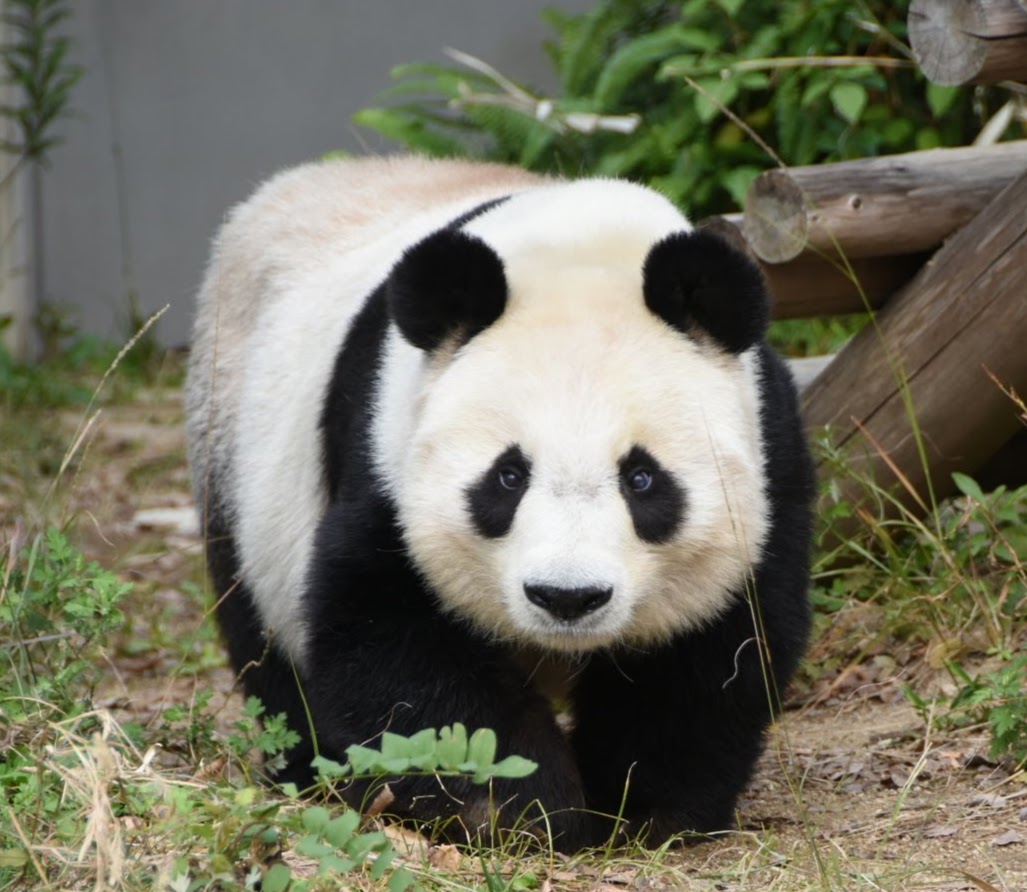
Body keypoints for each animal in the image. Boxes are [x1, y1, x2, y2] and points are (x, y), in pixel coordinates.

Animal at [182, 152, 809, 849]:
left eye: (642, 479)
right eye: (508, 477)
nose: (567, 598)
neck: (582, 241)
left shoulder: (768, 454)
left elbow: (713, 657)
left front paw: (647, 811)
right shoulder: (386, 452)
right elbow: (397, 648)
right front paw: (523, 809)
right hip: (237, 434)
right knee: (267, 646)